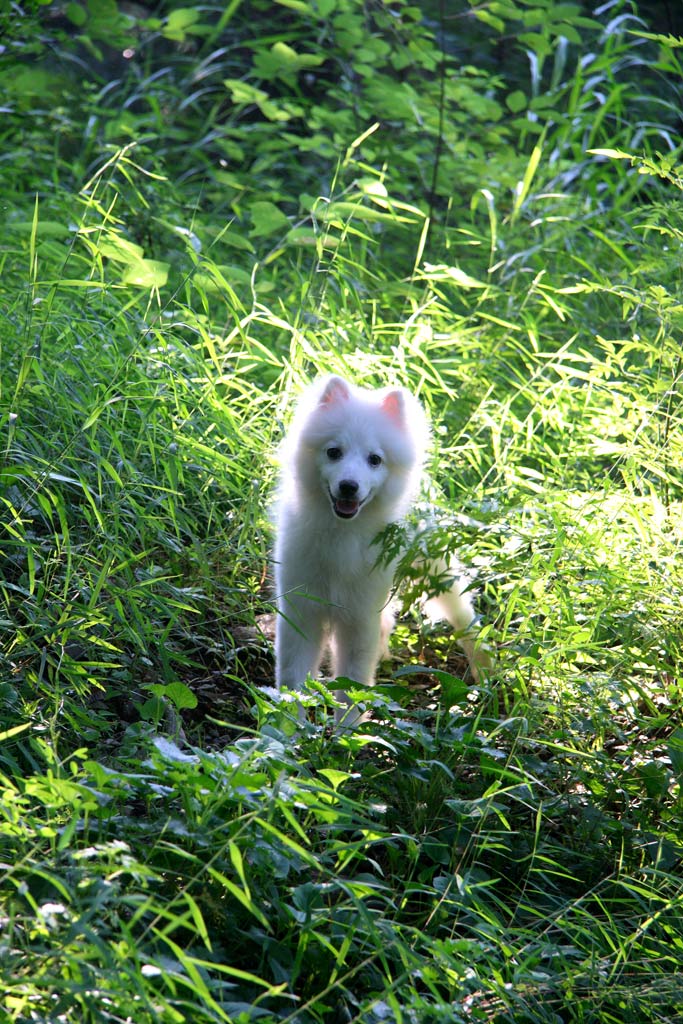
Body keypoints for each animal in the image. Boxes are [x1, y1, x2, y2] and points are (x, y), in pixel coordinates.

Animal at [274, 372, 491, 724]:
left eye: (374, 460)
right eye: (333, 452)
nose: (349, 486)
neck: (342, 533)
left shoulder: (359, 618)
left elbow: (352, 683)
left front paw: (349, 732)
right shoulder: (300, 609)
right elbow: (293, 678)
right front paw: (285, 727)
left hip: (438, 572)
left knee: (465, 618)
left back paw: (486, 670)